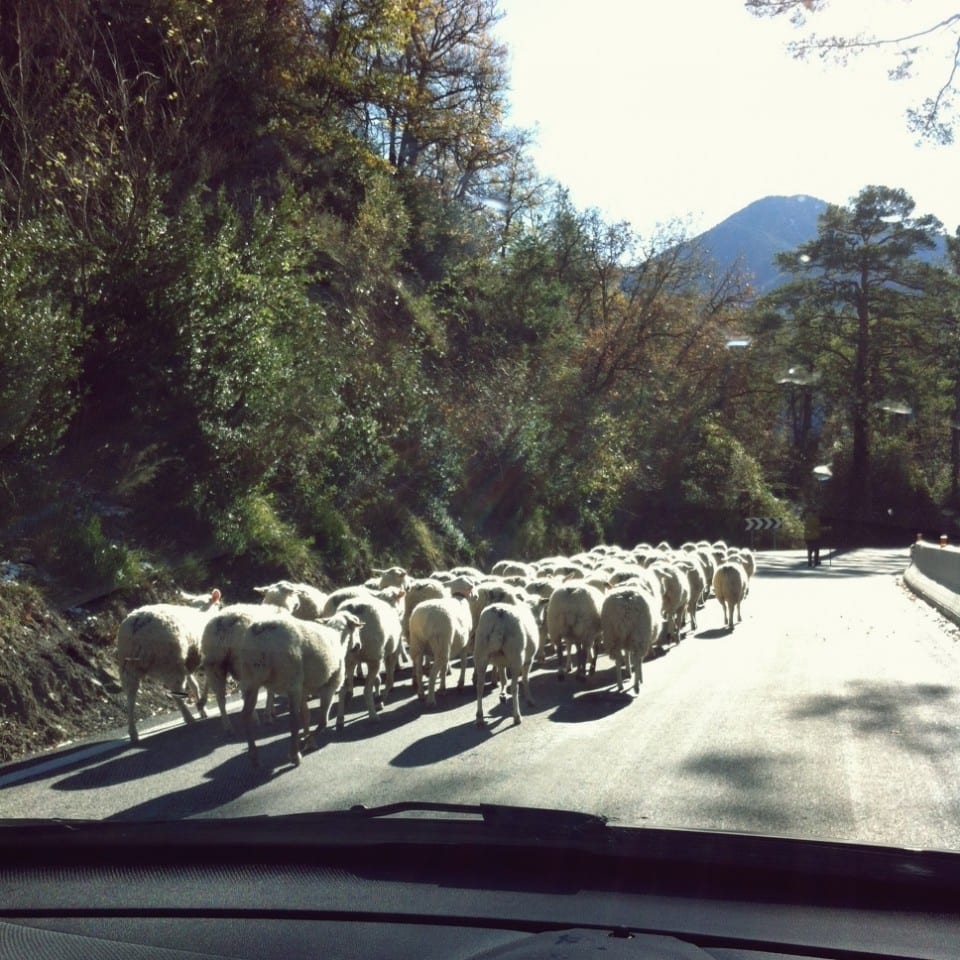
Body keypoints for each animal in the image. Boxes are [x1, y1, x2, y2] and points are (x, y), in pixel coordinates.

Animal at [116, 584, 223, 744]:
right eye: (219, 605)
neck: (202, 612)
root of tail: (136, 625)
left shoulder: (187, 662)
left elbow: (194, 685)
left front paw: (202, 709)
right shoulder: (201, 658)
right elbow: (202, 683)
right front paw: (202, 708)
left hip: (128, 666)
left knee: (130, 698)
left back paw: (133, 733)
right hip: (168, 661)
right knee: (175, 692)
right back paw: (189, 719)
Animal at [474, 600, 540, 728]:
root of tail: (499, 613)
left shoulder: (500, 662)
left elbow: (503, 678)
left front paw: (503, 695)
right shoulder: (528, 661)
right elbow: (525, 680)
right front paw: (530, 699)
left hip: (480, 652)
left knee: (479, 686)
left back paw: (480, 717)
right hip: (516, 657)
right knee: (514, 687)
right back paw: (517, 717)